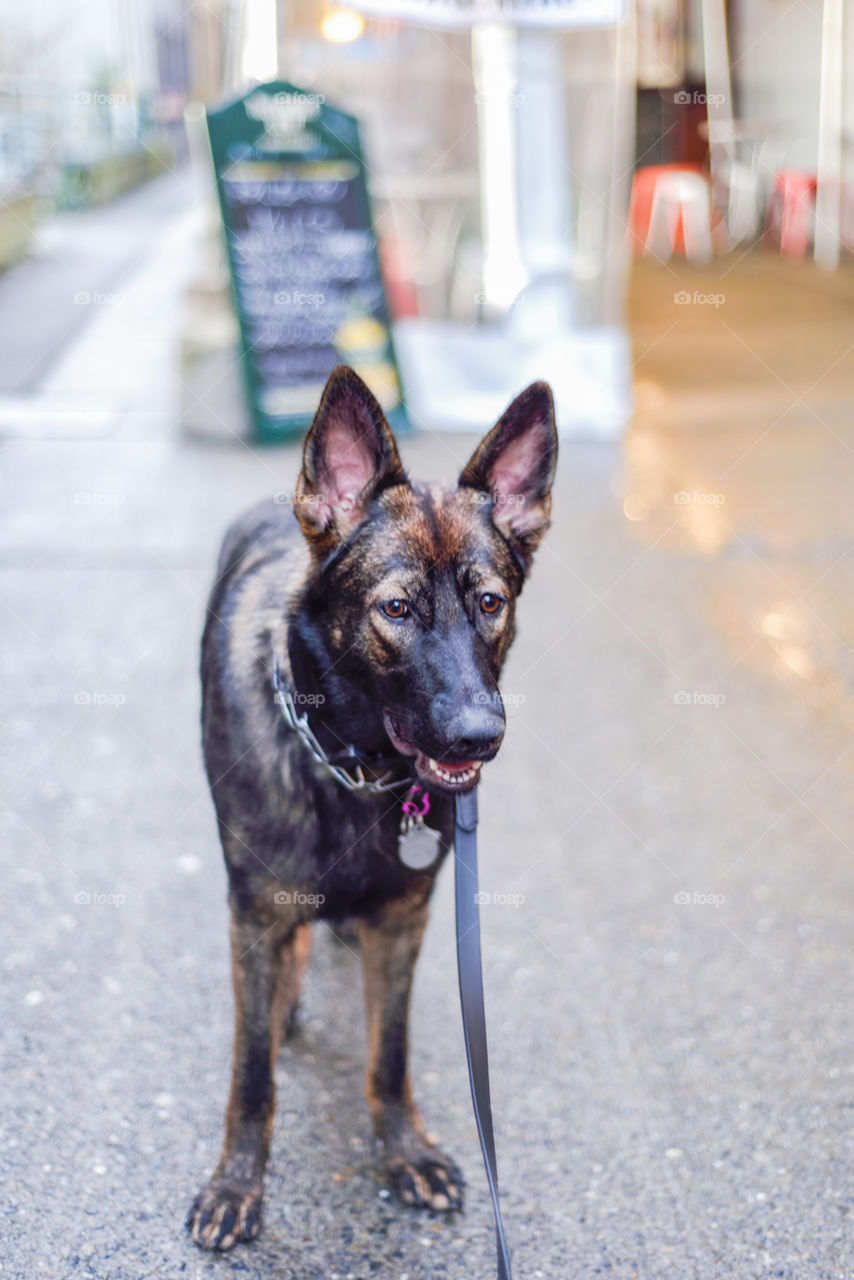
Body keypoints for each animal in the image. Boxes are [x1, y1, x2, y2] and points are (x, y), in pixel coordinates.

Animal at [185, 368, 558, 1249]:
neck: (349, 768)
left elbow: (389, 1054)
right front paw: (237, 1185)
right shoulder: (256, 914)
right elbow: (251, 1076)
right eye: (396, 610)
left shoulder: (403, 920)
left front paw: (404, 1152)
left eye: (490, 603)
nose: (480, 735)